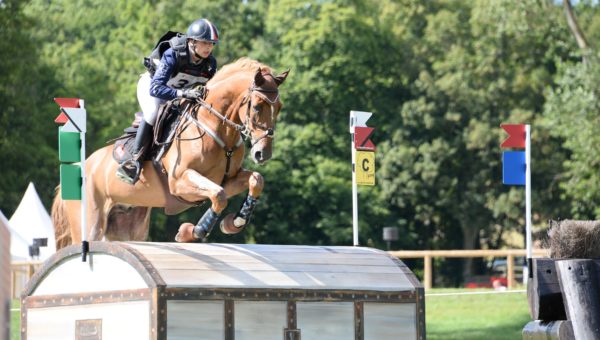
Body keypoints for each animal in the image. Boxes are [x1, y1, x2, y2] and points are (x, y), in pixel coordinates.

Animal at [50, 57, 290, 250]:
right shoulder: (180, 181)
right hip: (90, 222)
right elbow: (219, 196)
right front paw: (193, 232)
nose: (263, 153)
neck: (215, 127)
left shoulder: (227, 179)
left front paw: (234, 223)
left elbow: (255, 180)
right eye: (257, 107)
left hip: (127, 225)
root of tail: (80, 168)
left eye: (279, 107)